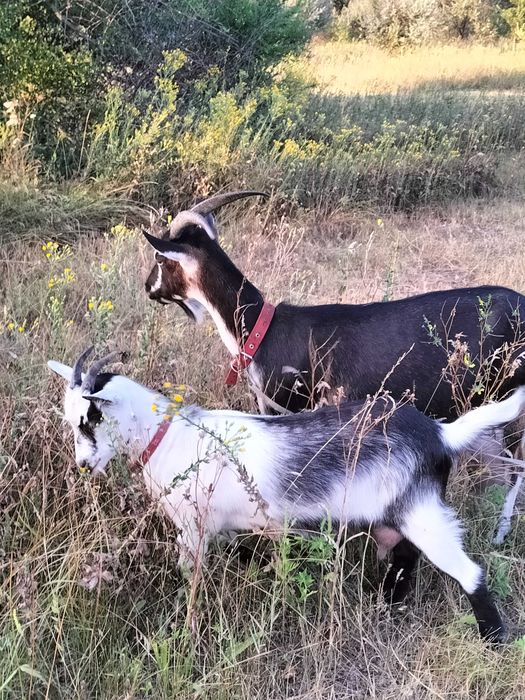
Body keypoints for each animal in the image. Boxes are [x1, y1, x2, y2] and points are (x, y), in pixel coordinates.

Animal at [49, 348, 525, 643]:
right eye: (72, 422)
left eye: (90, 419)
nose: (83, 466)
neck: (168, 436)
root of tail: (439, 434)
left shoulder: (194, 528)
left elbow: (190, 575)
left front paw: (187, 623)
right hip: (401, 515)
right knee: (404, 556)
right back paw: (388, 605)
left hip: (423, 513)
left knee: (469, 572)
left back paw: (493, 639)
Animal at [142, 191, 525, 542]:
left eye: (160, 257)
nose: (147, 288)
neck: (261, 330)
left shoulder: (290, 407)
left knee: (516, 467)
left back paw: (500, 533)